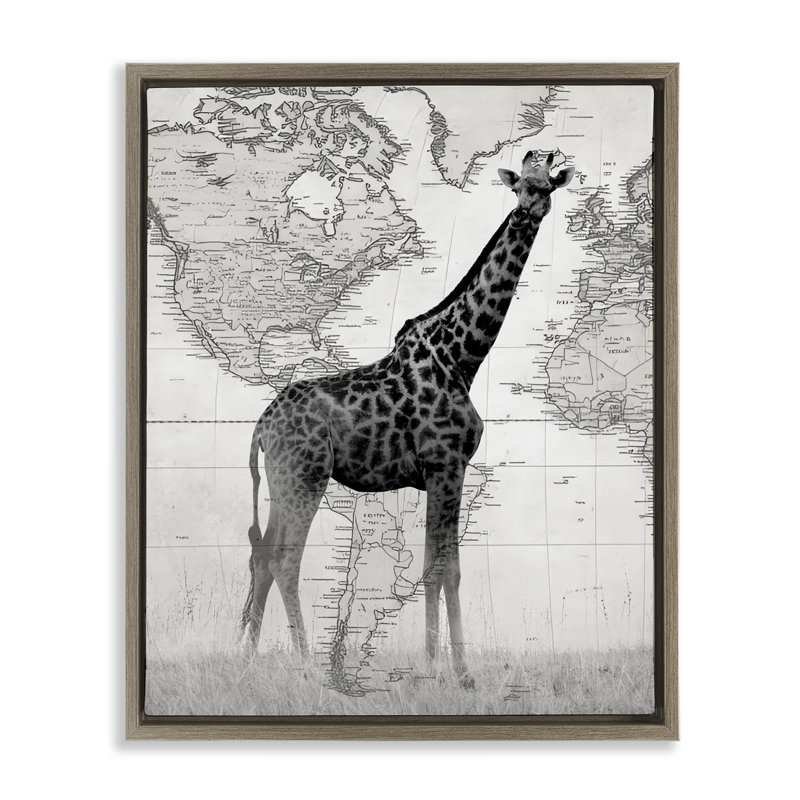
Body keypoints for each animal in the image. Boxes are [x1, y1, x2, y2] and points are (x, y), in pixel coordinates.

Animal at [237, 150, 574, 689]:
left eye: (547, 186)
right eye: (520, 184)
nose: (527, 210)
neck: (463, 356)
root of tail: (260, 429)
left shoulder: (444, 471)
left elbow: (438, 566)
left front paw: (438, 665)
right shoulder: (446, 464)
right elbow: (444, 569)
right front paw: (457, 673)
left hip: (280, 481)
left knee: (262, 556)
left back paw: (248, 659)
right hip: (305, 478)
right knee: (286, 560)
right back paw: (308, 666)